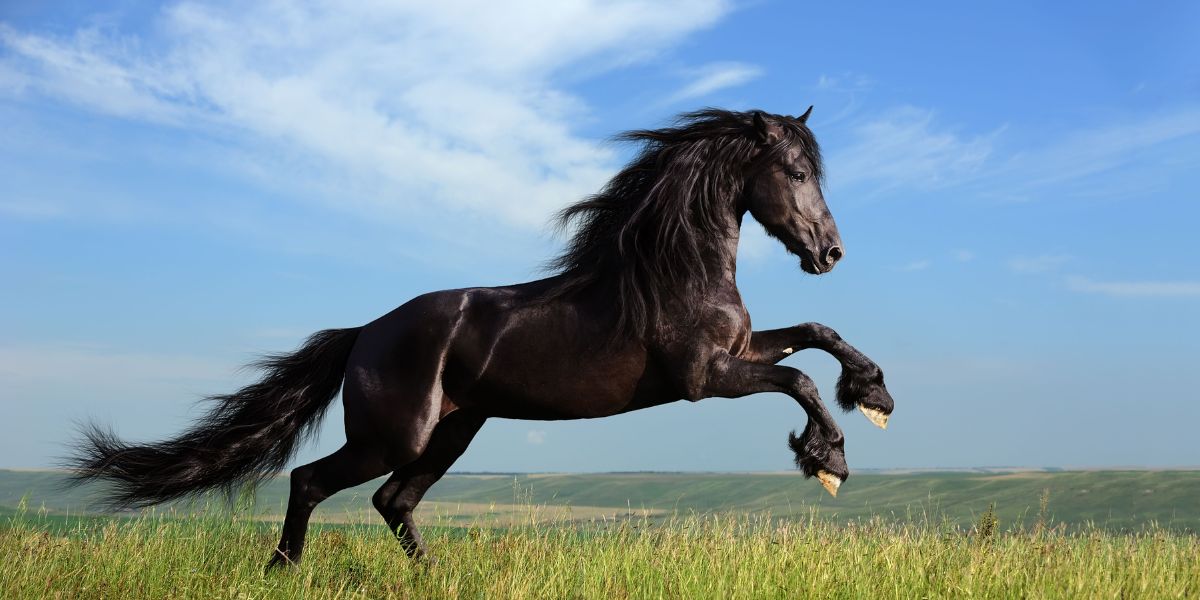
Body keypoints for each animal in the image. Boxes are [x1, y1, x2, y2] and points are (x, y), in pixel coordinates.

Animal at [69, 107, 895, 569]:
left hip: (454, 431)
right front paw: (828, 459)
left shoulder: (738, 353)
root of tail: (364, 333)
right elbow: (799, 378)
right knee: (313, 482)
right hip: (394, 435)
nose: (829, 252)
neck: (674, 270)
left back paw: (431, 578)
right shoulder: (704, 377)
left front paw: (874, 394)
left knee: (394, 502)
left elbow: (817, 333)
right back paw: (282, 570)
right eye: (795, 171)